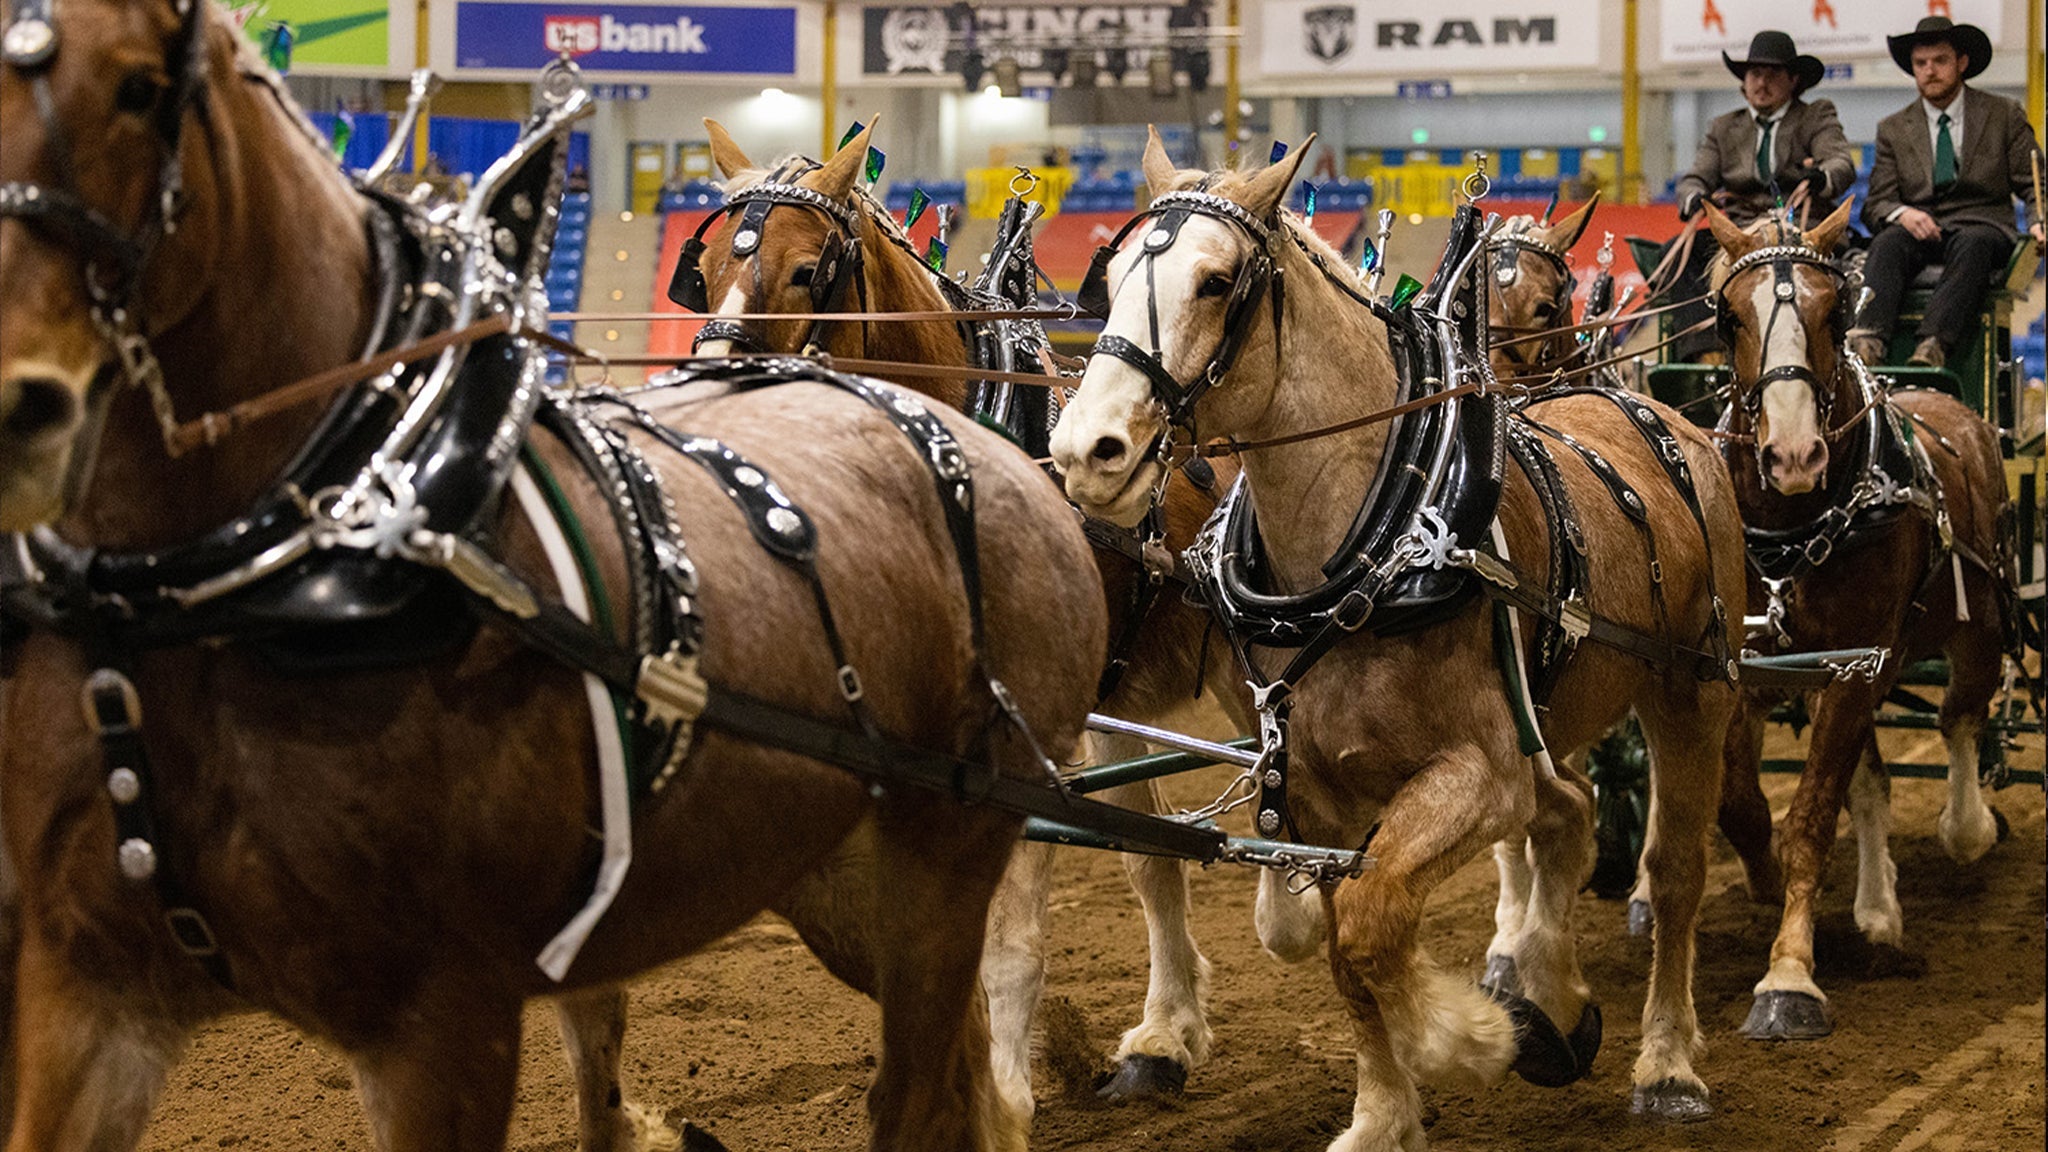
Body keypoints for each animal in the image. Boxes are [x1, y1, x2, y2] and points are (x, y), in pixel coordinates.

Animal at [676, 118, 1262, 1112]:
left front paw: (1009, 1091)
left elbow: (1011, 939)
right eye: (708, 264)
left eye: (806, 271)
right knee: (1155, 859)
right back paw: (1166, 1035)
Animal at [1050, 128, 1748, 1148]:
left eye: (1216, 282)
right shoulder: (1315, 791)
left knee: (1673, 871)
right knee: (1570, 815)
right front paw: (1387, 1110)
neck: (1371, 554)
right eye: (1107, 280)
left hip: (1693, 691)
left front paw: (1480, 1040)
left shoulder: (1478, 772)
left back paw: (1665, 1061)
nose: (1084, 449)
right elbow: (1345, 946)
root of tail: (1659, 415)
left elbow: (1374, 919)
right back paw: (1554, 988)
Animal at [1700, 203, 2018, 1040]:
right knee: (1872, 782)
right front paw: (1773, 887)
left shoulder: (1852, 666)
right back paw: (1876, 909)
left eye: (1836, 313)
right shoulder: (1753, 668)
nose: (1794, 456)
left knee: (1960, 719)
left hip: (1976, 623)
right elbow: (1745, 805)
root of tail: (1945, 401)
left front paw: (1789, 977)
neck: (1794, 528)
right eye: (1727, 316)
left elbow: (1812, 817)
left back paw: (1967, 827)